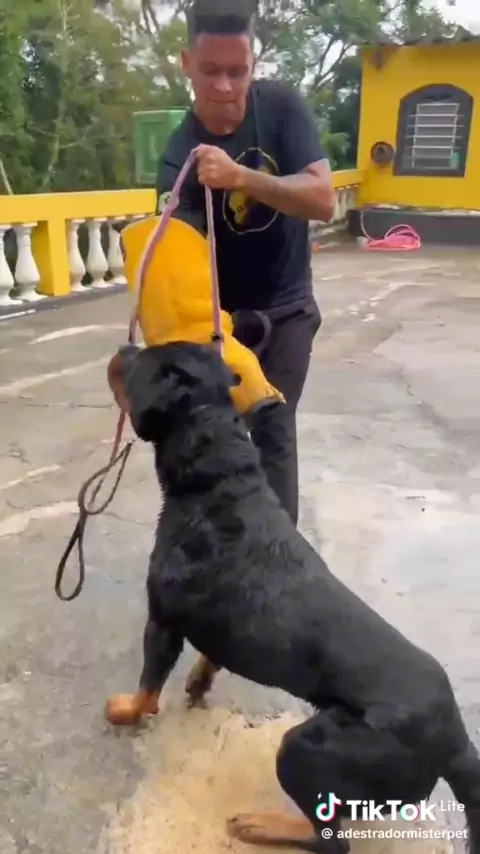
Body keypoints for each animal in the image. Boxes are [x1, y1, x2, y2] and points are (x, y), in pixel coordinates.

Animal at [105, 341, 480, 853]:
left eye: (141, 361)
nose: (123, 346)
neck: (216, 477)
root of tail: (456, 742)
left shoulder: (162, 620)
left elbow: (148, 686)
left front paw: (125, 710)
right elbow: (209, 656)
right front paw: (199, 681)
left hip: (308, 748)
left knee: (331, 838)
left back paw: (262, 825)